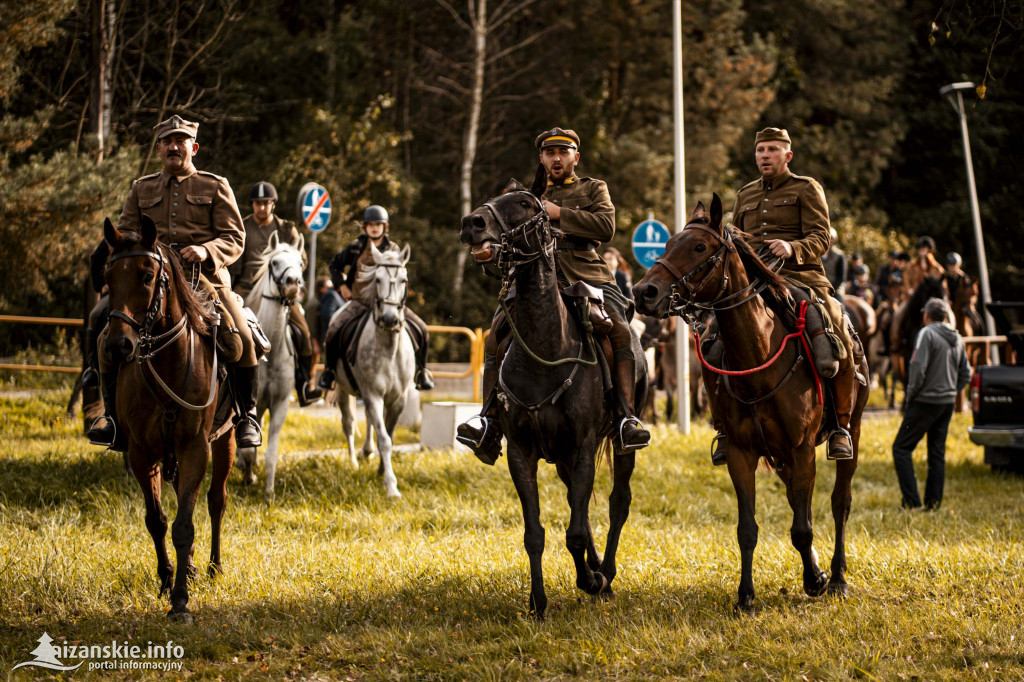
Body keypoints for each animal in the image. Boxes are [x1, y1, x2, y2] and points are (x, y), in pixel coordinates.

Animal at [101, 215, 234, 618]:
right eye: (107, 276)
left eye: (147, 275)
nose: (118, 346)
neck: (169, 360)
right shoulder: (142, 452)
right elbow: (157, 520)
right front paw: (167, 579)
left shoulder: (195, 449)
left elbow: (185, 525)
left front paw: (180, 603)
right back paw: (188, 568)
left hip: (225, 441)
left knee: (216, 500)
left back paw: (213, 566)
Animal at [237, 231, 305, 501]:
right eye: (274, 262)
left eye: (301, 263)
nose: (293, 283)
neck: (273, 352)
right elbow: (247, 448)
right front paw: (248, 475)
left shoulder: (279, 405)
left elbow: (271, 452)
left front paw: (268, 492)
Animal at [634, 195, 868, 610]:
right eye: (667, 244)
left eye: (699, 247)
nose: (644, 292)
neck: (759, 357)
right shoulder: (742, 454)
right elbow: (748, 528)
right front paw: (746, 596)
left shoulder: (802, 449)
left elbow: (803, 527)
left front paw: (815, 580)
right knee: (797, 499)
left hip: (849, 431)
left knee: (840, 501)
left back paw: (837, 577)